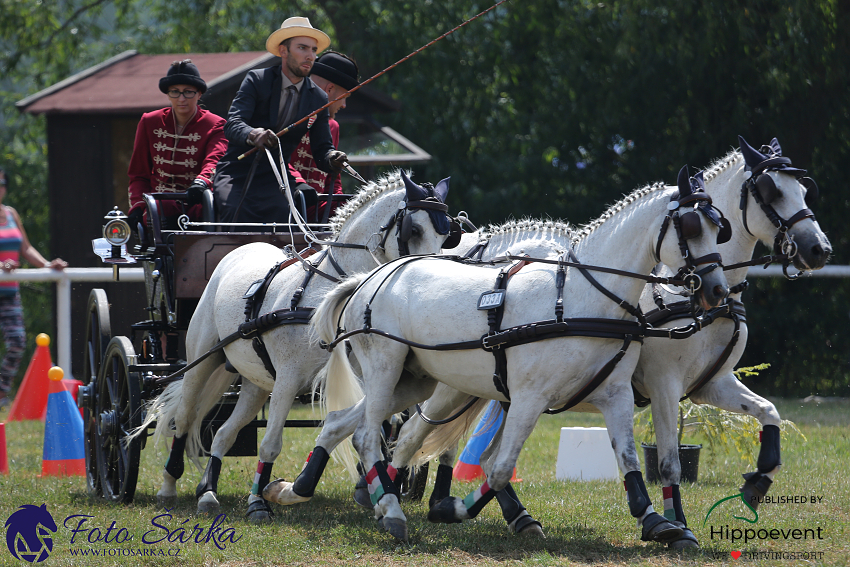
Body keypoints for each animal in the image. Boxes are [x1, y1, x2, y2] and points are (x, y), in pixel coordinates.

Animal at [132, 171, 454, 520]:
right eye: (414, 229)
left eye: (446, 233)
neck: (329, 295)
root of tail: (239, 250)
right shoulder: (288, 378)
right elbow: (271, 442)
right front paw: (259, 502)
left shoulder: (372, 374)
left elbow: (378, 425)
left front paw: (370, 487)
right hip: (202, 363)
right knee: (184, 418)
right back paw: (169, 485)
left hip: (256, 382)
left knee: (223, 433)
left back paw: (207, 492)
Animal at [308, 169, 724, 540]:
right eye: (691, 227)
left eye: (719, 227)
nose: (716, 289)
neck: (580, 298)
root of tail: (367, 279)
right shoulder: (529, 397)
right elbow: (498, 468)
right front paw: (453, 510)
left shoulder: (615, 393)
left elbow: (629, 459)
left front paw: (655, 521)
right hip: (387, 368)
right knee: (367, 435)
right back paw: (390, 509)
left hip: (417, 382)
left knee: (370, 428)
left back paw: (357, 494)